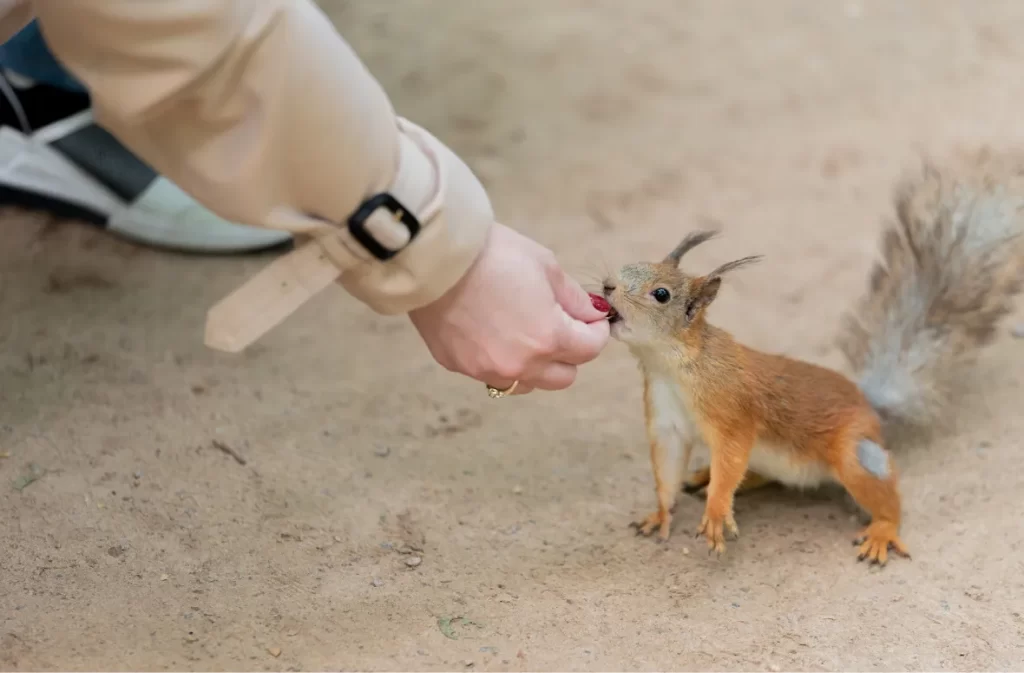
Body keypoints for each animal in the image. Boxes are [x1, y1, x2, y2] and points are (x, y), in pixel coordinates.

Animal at [598, 157, 1024, 561]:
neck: (672, 366)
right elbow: (668, 471)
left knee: (882, 494)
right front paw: (661, 514)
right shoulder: (666, 418)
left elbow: (732, 455)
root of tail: (868, 406)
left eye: (661, 294)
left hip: (854, 454)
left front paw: (717, 513)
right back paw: (706, 476)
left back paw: (883, 531)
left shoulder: (732, 410)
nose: (606, 286)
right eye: (633, 263)